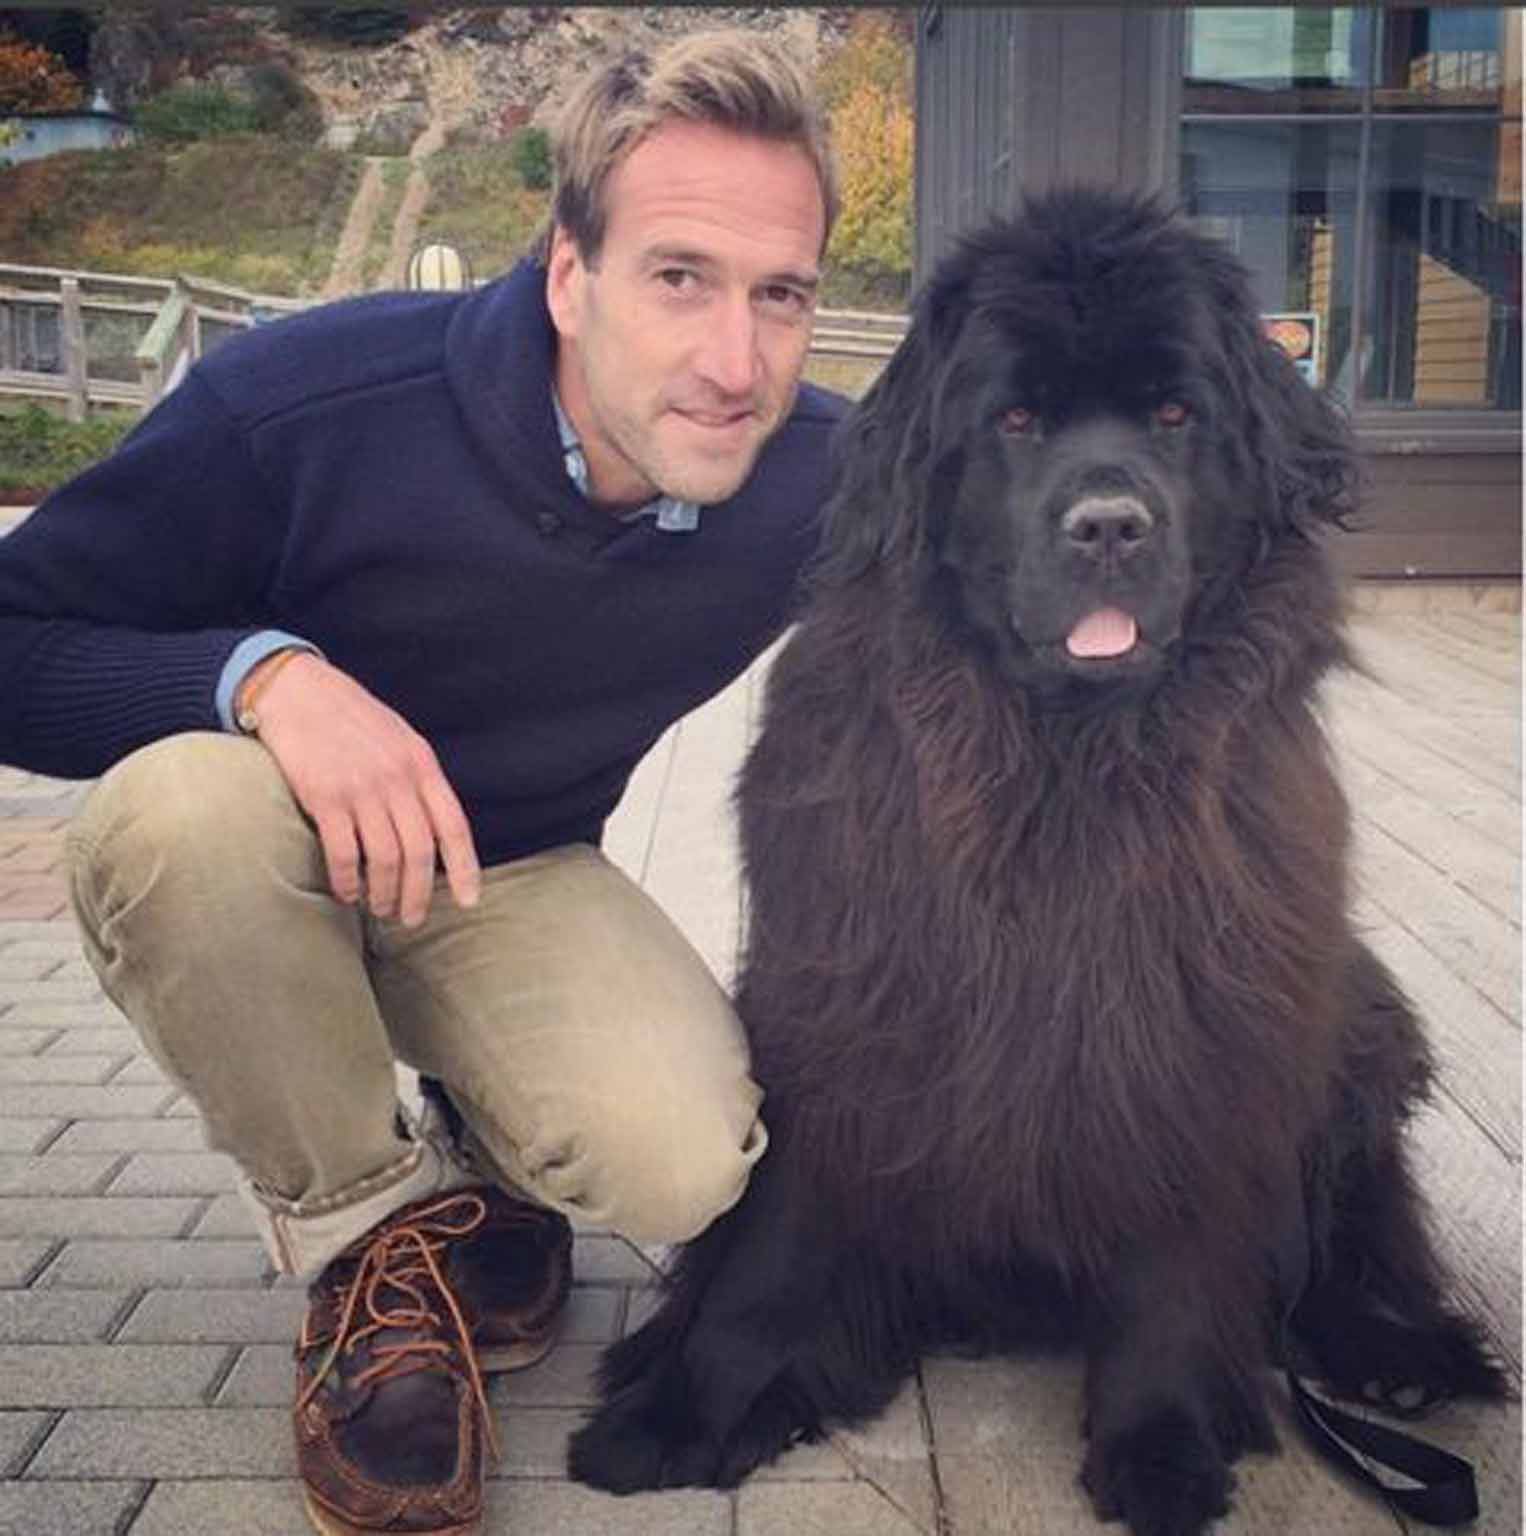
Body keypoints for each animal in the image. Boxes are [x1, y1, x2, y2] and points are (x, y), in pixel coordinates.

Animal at [565, 185, 1506, 1529]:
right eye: (1012, 421)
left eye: (1173, 414)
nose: (1107, 522)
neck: (1062, 774)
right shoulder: (842, 1010)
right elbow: (773, 1250)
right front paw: (691, 1408)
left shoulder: (1196, 1034)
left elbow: (1175, 1266)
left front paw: (1160, 1448)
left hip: (1360, 1023)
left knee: (1349, 1244)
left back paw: (1395, 1354)